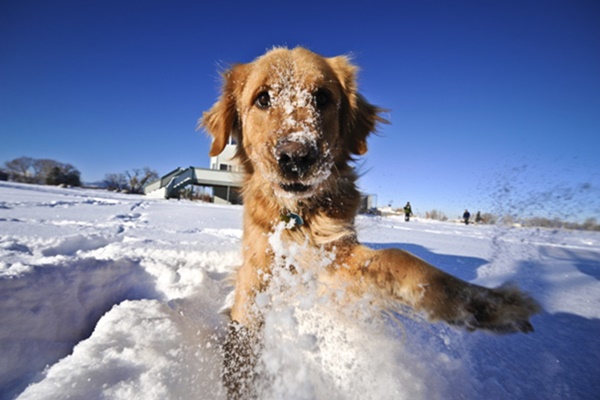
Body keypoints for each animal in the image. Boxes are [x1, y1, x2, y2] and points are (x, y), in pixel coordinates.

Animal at [200, 47, 540, 396]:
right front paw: (240, 381)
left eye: (322, 97)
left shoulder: (337, 256)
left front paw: (482, 303)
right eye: (263, 98)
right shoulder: (256, 269)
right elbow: (243, 334)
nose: (295, 156)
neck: (299, 215)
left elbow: (399, 257)